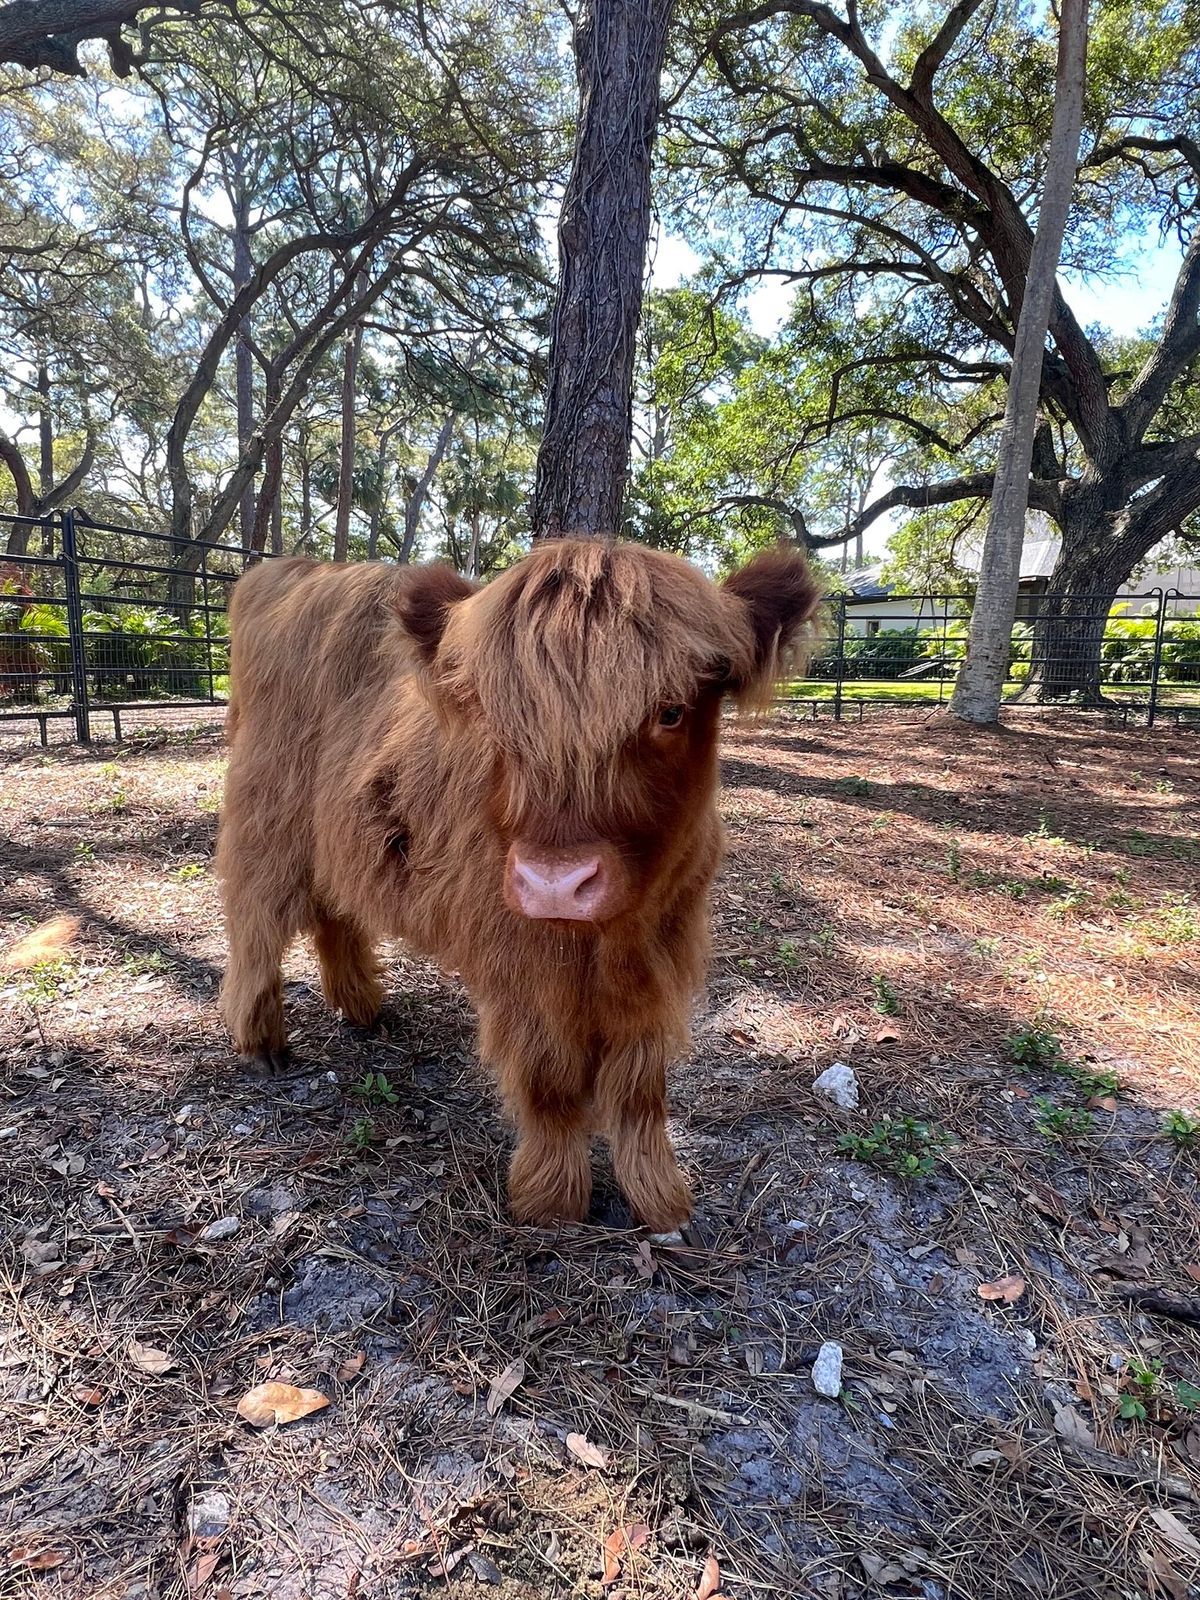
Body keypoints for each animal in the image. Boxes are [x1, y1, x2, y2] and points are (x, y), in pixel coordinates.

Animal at [216, 544, 825, 1228]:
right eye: (494, 718)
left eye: (670, 711)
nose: (554, 884)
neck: (606, 940)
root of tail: (290, 573)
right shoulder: (525, 966)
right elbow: (549, 1080)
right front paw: (553, 1201)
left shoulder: (657, 960)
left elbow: (641, 1088)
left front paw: (660, 1197)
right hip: (268, 824)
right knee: (256, 924)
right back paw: (262, 1043)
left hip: (338, 837)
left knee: (333, 912)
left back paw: (363, 1008)